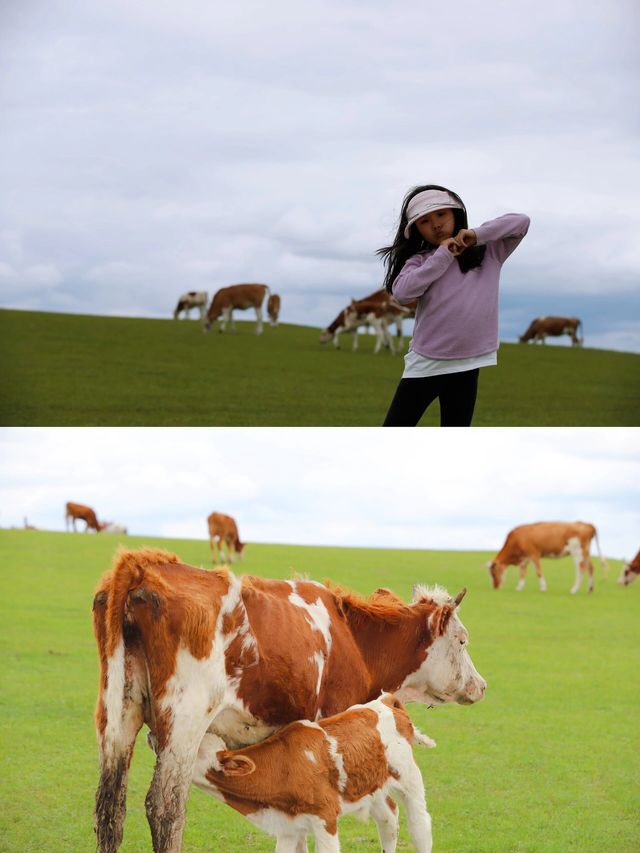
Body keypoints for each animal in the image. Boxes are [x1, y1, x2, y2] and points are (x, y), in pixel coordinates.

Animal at [189, 692, 436, 852]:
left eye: (195, 750)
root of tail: (386, 701)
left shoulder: (325, 818)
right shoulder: (288, 827)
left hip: (409, 778)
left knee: (420, 826)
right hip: (371, 786)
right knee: (388, 819)